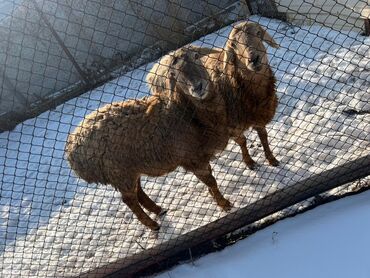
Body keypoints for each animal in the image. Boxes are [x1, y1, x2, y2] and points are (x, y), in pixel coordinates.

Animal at [64, 47, 231, 230]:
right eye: (173, 73)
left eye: (196, 57)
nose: (198, 87)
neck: (185, 114)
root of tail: (73, 151)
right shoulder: (192, 159)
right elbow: (211, 181)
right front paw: (224, 204)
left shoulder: (201, 155)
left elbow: (210, 179)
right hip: (118, 173)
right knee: (129, 200)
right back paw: (152, 224)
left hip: (130, 169)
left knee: (138, 192)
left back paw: (158, 210)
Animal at [147, 21, 280, 169]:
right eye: (233, 45)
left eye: (258, 33)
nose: (254, 59)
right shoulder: (231, 126)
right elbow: (242, 141)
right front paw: (249, 161)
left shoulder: (259, 115)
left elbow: (263, 136)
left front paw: (271, 159)